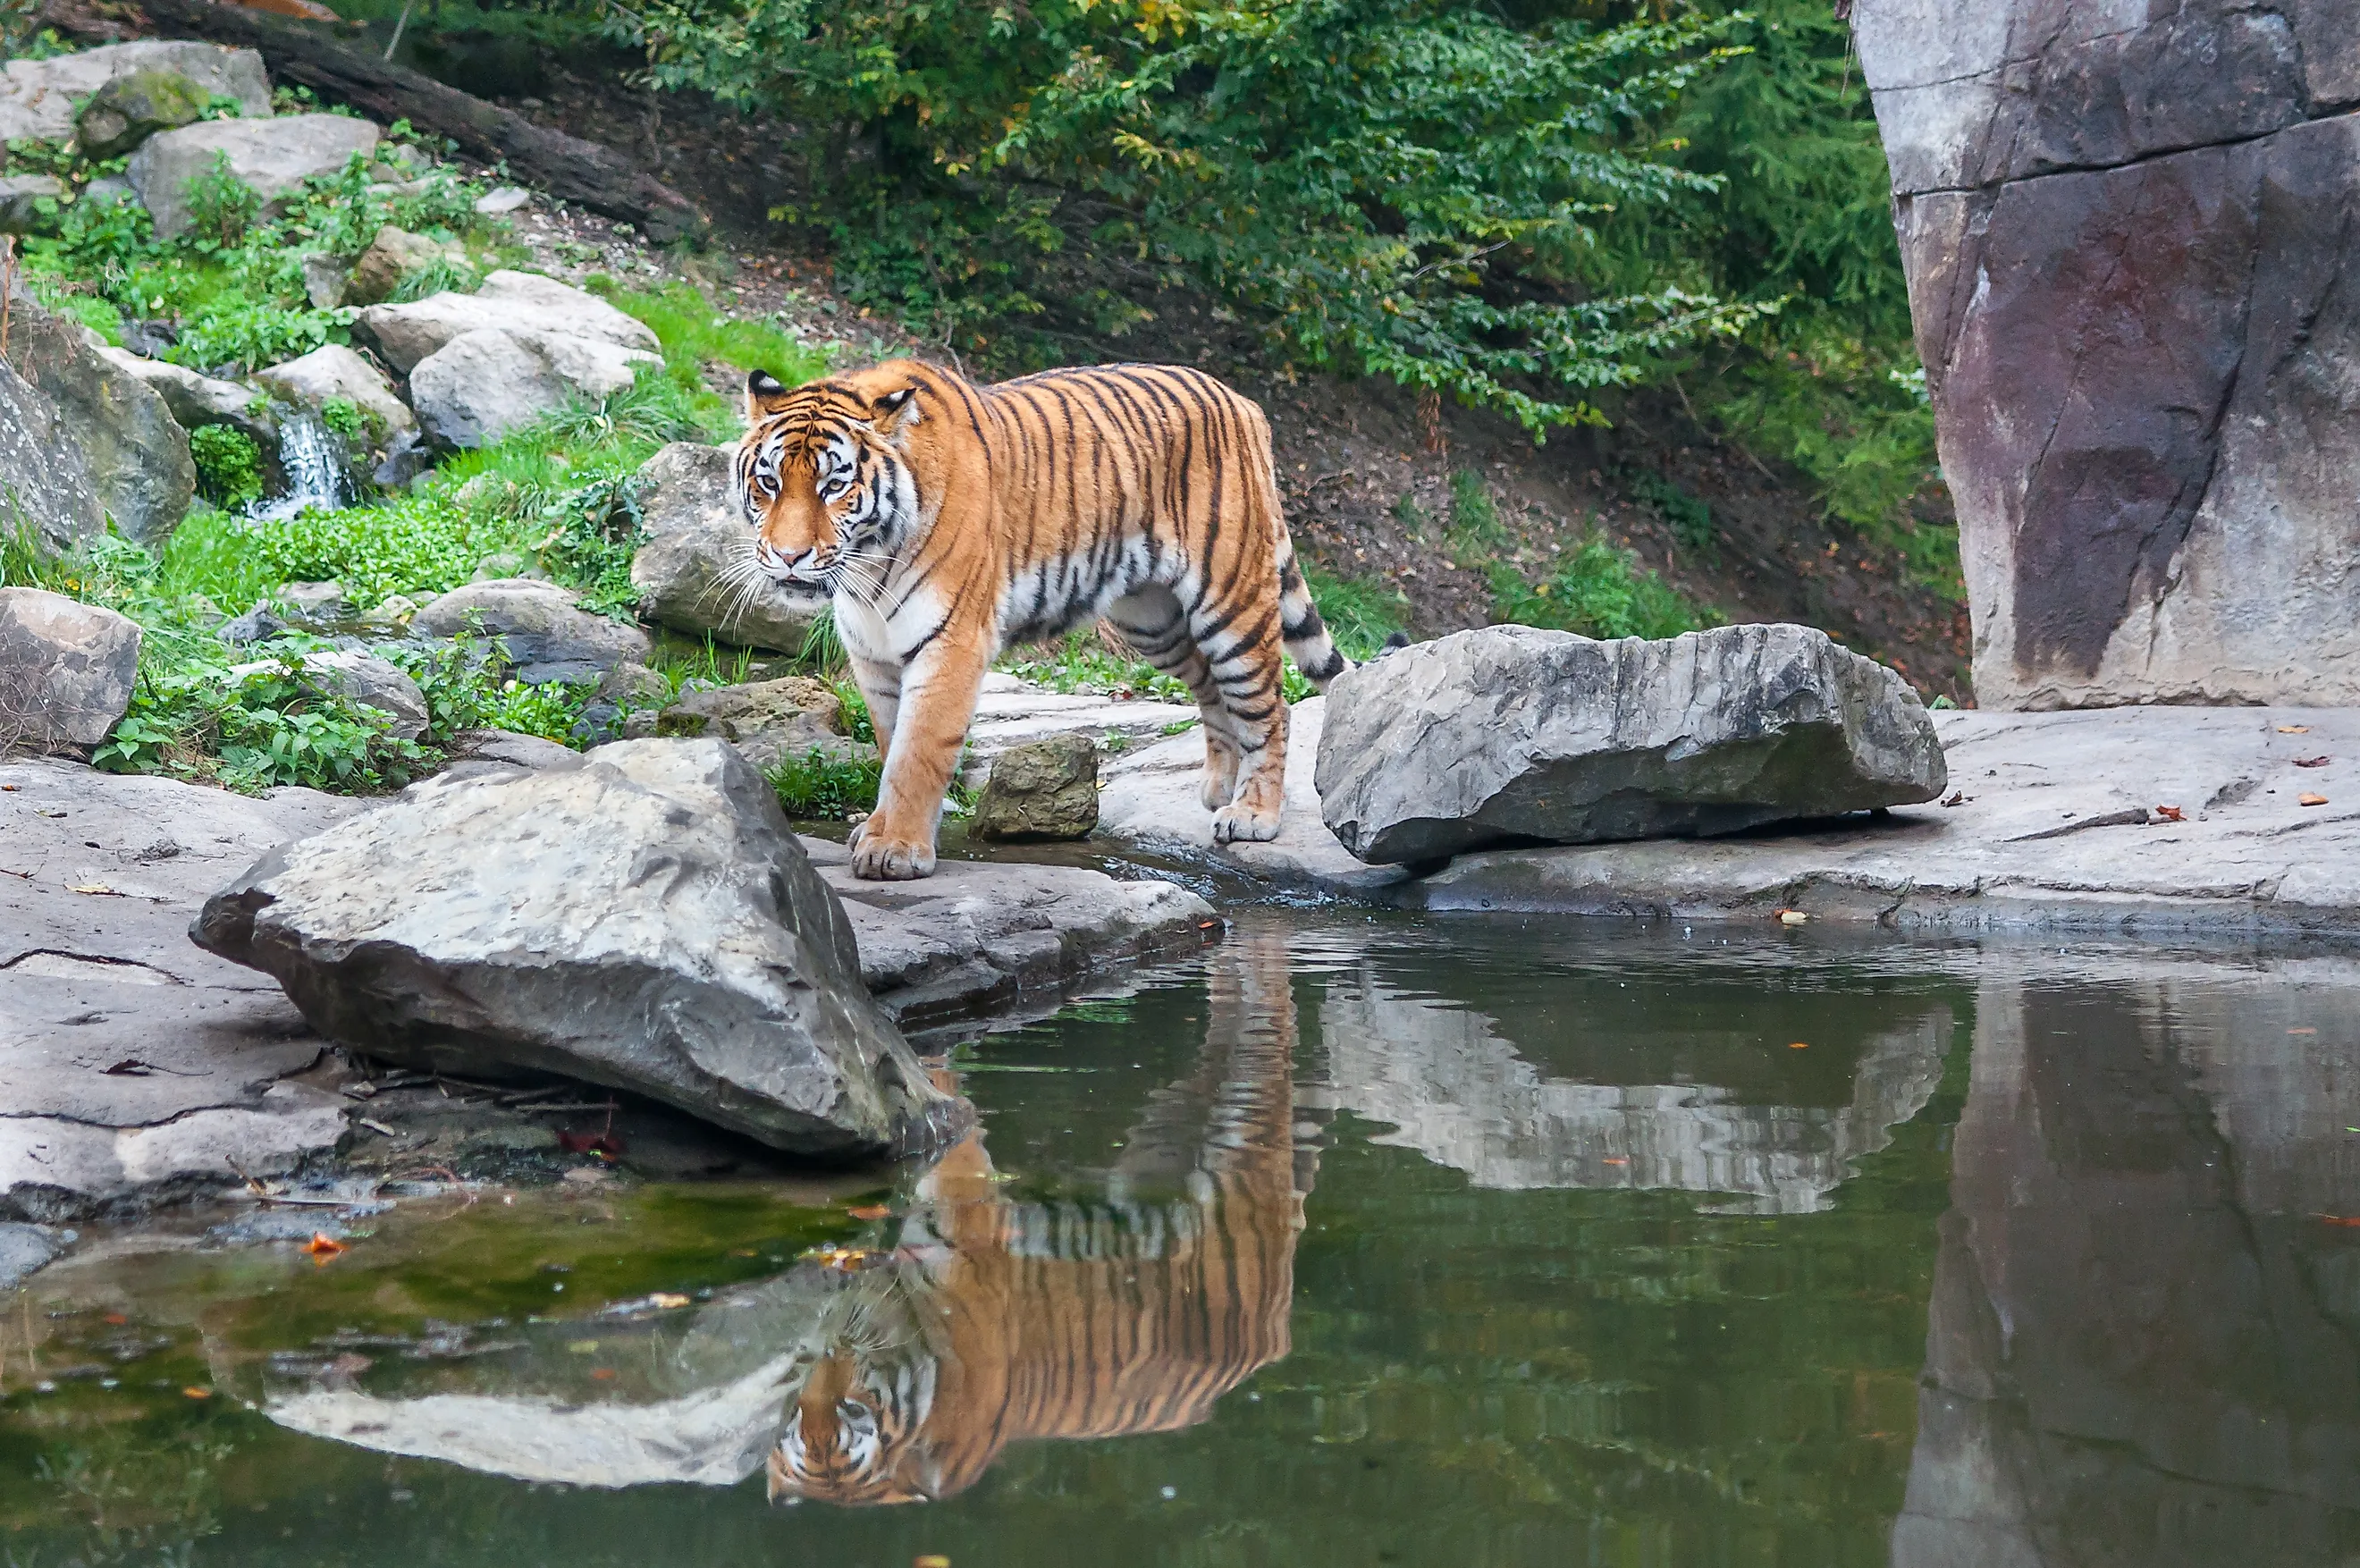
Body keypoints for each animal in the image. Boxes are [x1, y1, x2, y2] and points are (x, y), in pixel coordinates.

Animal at [732, 358, 1353, 880]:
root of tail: (1241, 402)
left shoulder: (951, 643)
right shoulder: (873, 655)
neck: (868, 568)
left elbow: (917, 754)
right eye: (769, 482)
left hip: (1230, 602)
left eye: (834, 486)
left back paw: (1253, 813)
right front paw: (878, 831)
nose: (788, 556)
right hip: (1152, 621)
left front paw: (896, 850)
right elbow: (890, 749)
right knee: (1211, 688)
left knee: (1270, 706)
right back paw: (1220, 788)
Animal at [765, 932, 1308, 1505]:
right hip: (1174, 1125)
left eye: (852, 1410)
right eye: (797, 1421)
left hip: (1247, 1112)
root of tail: (1274, 1338)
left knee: (1266, 1005)